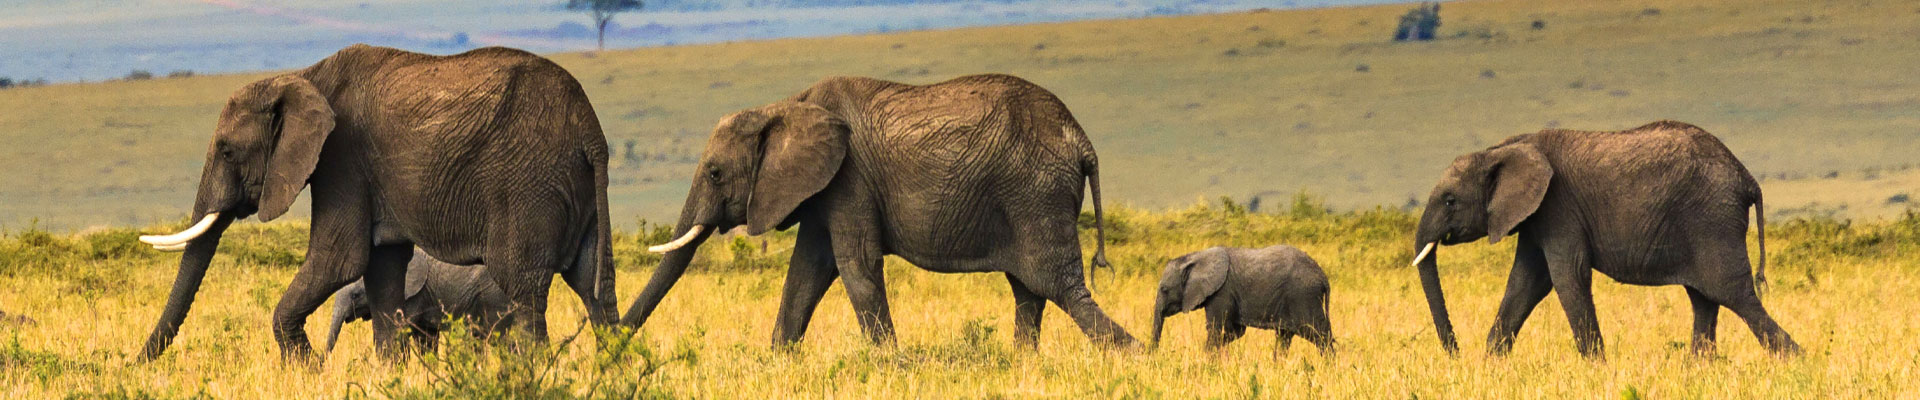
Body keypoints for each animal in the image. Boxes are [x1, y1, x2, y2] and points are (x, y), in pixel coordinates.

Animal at [622, 73, 1136, 348]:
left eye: (713, 173)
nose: (613, 341)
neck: (785, 105)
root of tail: (1082, 141)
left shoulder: (850, 179)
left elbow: (856, 265)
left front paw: (893, 364)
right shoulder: (824, 189)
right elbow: (806, 272)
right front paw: (776, 361)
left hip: (1035, 193)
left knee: (1059, 287)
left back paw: (1136, 356)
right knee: (1030, 291)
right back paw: (1020, 363)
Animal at [1152, 245, 1336, 357]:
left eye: (1164, 290)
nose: (1153, 356)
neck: (1196, 257)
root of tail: (1323, 277)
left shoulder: (1221, 293)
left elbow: (1215, 329)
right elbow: (1236, 331)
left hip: (1303, 297)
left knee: (1319, 334)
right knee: (1285, 337)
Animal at [1413, 119, 1797, 359]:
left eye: (1450, 201)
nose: (1455, 353)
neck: (1502, 148)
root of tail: (1747, 177)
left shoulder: (1559, 206)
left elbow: (1567, 277)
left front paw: (1596, 366)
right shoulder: (1537, 216)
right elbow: (1525, 282)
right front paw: (1491, 363)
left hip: (1712, 220)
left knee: (1732, 293)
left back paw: (1795, 360)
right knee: (1704, 299)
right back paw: (1699, 368)